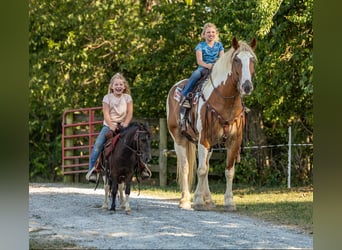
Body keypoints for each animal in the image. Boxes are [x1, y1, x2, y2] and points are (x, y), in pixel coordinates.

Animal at [166, 37, 256, 211]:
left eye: (252, 60)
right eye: (236, 60)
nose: (247, 86)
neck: (224, 101)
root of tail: (175, 87)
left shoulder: (233, 141)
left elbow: (228, 171)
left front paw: (229, 202)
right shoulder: (204, 139)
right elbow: (200, 170)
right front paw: (198, 201)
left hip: (209, 145)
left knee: (206, 167)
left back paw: (209, 200)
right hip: (179, 138)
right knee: (186, 166)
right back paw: (185, 200)